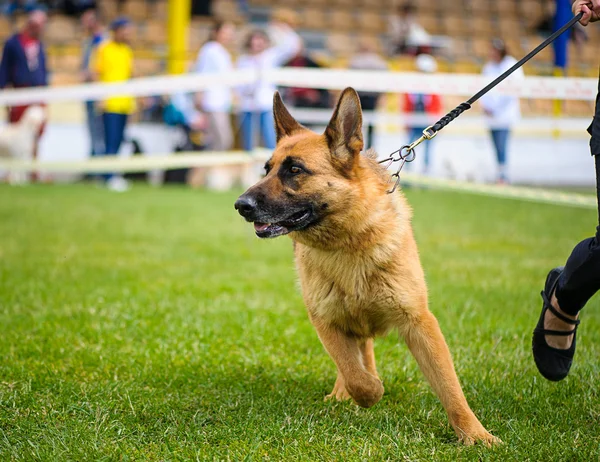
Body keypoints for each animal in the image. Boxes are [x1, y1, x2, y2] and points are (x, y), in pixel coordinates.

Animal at [234, 88, 496, 446]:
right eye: (267, 169)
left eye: (295, 170)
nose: (240, 205)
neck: (348, 242)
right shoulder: (325, 320)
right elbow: (355, 375)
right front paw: (368, 391)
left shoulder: (420, 322)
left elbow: (449, 386)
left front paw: (475, 435)